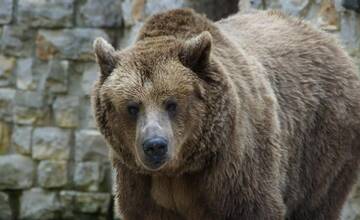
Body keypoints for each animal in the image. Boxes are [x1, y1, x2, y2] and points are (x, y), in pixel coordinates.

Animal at [91, 7, 360, 219]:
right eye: (132, 106)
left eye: (172, 103)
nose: (155, 145)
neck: (181, 168)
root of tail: (332, 43)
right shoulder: (140, 183)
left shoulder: (234, 170)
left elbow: (255, 207)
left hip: (323, 142)